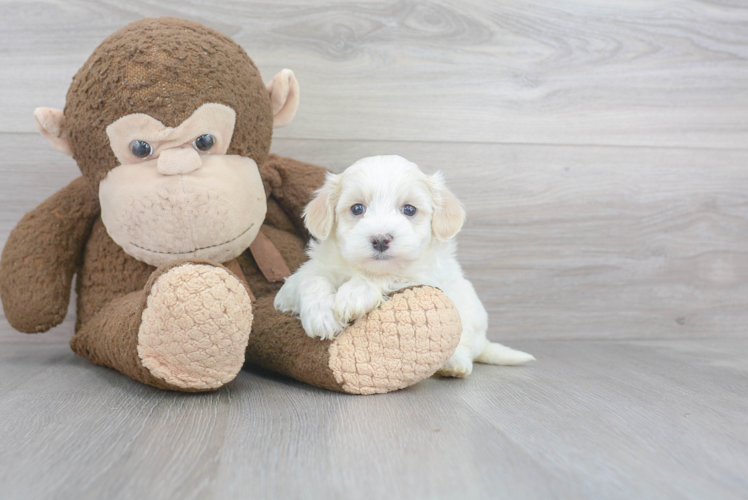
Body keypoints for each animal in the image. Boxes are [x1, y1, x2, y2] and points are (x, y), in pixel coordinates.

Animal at [274, 154, 532, 376]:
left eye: (409, 209)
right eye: (357, 208)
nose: (380, 240)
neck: (358, 268)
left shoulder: (425, 275)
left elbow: (390, 274)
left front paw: (354, 295)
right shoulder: (298, 280)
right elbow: (311, 279)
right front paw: (322, 316)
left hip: (470, 318)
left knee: (464, 345)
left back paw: (454, 364)